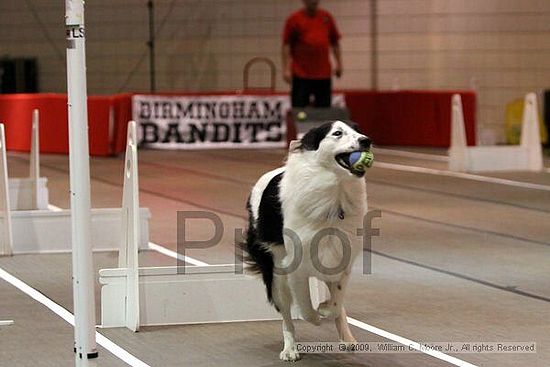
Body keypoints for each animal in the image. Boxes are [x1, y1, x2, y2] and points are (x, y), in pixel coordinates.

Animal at [244, 121, 374, 362]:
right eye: (337, 133)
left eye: (358, 129)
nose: (366, 140)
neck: (334, 190)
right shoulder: (295, 267)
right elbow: (304, 307)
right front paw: (316, 315)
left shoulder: (340, 259)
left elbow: (337, 302)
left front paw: (325, 308)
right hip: (276, 274)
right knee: (286, 316)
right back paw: (290, 349)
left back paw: (347, 338)